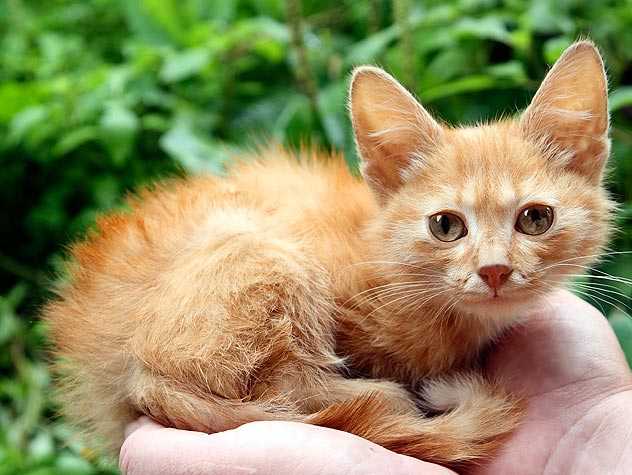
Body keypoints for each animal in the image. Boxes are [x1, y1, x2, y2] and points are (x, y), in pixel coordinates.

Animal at [43, 41, 612, 468]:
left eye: (535, 219)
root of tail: (123, 366)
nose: (494, 270)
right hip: (264, 253)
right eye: (446, 225)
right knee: (282, 384)